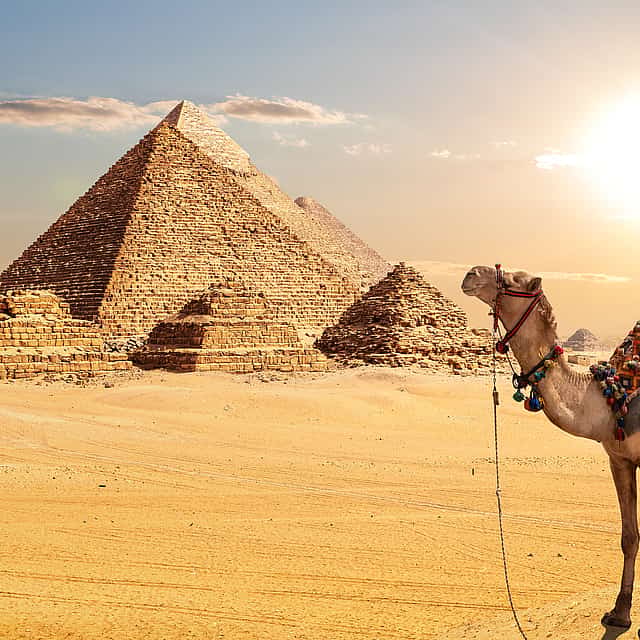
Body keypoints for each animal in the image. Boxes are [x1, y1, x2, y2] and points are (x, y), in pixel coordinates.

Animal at [461, 265, 640, 630]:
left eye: (512, 280)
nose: (470, 274)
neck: (611, 397)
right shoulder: (619, 459)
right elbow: (629, 536)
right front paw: (619, 612)